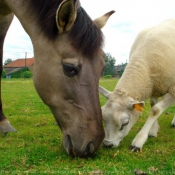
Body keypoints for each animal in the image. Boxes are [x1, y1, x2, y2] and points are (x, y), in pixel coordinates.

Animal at [99, 18, 175, 150]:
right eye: (104, 118)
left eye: (125, 123)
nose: (108, 144)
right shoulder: (152, 86)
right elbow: (153, 105)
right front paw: (153, 131)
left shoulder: (173, 89)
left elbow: (155, 110)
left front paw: (138, 141)